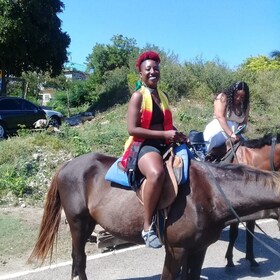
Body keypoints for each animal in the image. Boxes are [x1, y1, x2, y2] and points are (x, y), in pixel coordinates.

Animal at [27, 151, 280, 280]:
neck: (211, 195)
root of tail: (67, 165)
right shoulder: (176, 250)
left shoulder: (198, 249)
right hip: (78, 223)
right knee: (79, 259)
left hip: (88, 223)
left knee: (78, 260)